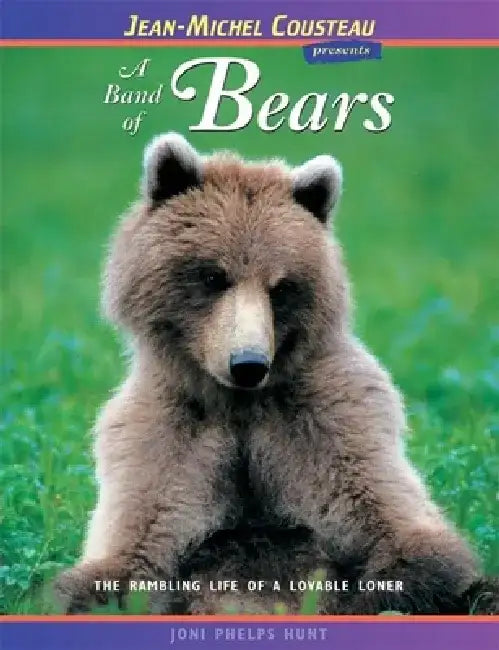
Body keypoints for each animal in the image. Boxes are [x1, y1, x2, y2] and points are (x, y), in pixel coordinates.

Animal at [54, 132, 492, 615]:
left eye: (281, 286)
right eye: (213, 276)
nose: (248, 365)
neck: (239, 403)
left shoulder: (329, 421)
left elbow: (403, 539)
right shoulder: (166, 432)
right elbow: (130, 554)